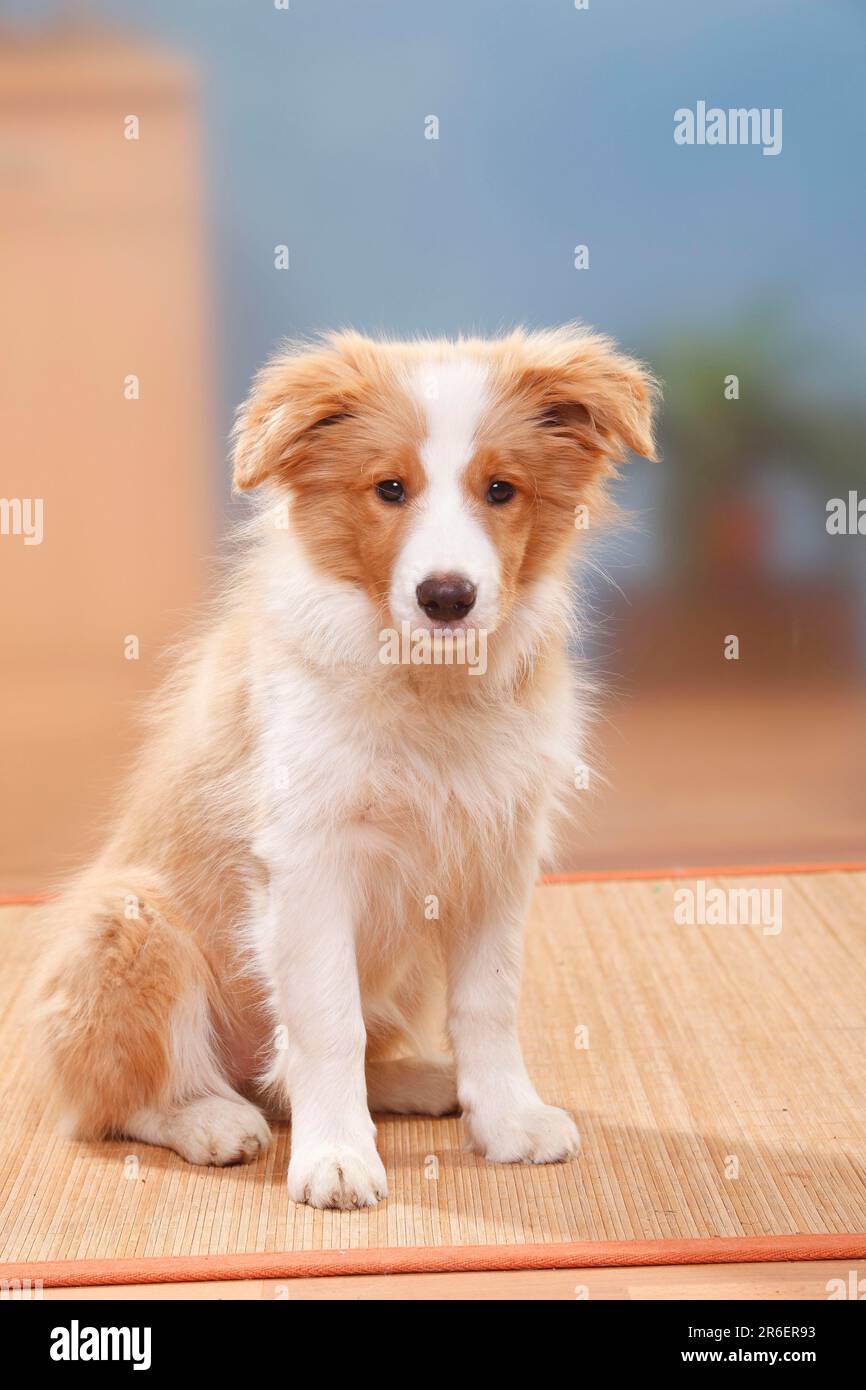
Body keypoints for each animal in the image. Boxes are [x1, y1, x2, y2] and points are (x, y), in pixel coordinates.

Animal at [33, 322, 656, 1206]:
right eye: (389, 489)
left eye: (502, 490)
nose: (446, 597)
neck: (429, 687)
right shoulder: (308, 858)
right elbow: (329, 1020)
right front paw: (335, 1157)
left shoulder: (498, 854)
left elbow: (489, 1004)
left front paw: (507, 1120)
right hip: (127, 919)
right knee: (121, 1103)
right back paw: (211, 1119)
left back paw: (420, 1084)